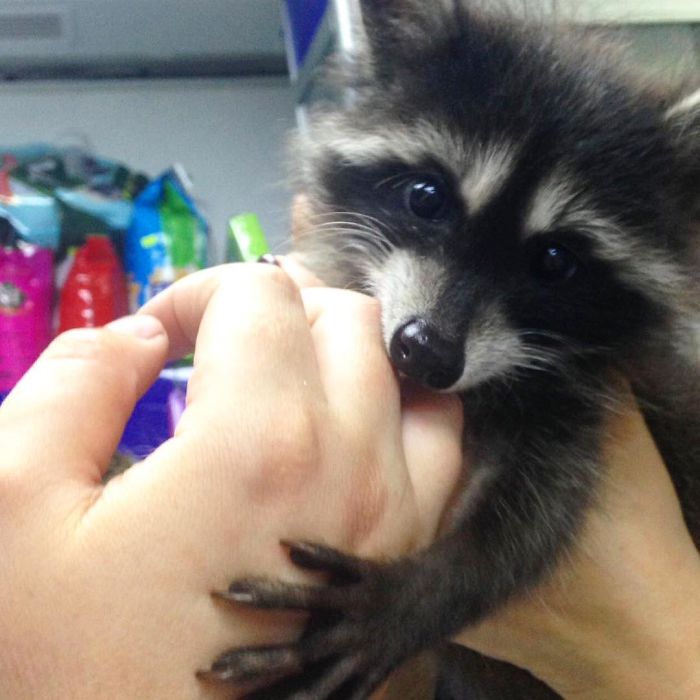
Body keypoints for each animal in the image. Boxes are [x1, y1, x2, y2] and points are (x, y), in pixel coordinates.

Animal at [203, 1, 700, 697]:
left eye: (555, 261)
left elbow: (535, 519)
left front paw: (421, 594)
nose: (425, 352)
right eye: (426, 197)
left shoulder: (582, 405)